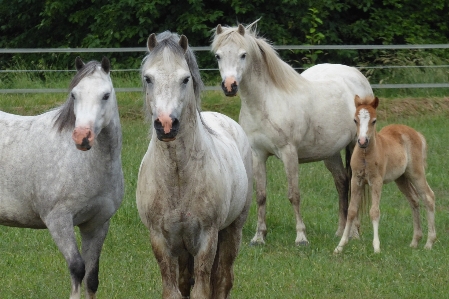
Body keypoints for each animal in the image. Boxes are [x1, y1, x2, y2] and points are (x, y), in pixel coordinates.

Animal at [135, 31, 254, 298]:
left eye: (185, 79)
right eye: (148, 78)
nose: (166, 125)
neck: (178, 176)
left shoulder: (206, 239)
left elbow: (203, 288)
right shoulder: (160, 240)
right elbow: (173, 290)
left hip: (232, 231)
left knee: (223, 279)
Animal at [212, 20, 372, 246]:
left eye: (243, 55)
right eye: (218, 56)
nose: (229, 86)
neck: (266, 102)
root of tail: (358, 77)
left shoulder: (289, 153)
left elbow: (294, 194)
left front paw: (301, 237)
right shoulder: (257, 154)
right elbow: (261, 195)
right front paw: (259, 237)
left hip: (356, 144)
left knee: (355, 183)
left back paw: (354, 233)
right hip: (330, 152)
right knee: (341, 182)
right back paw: (341, 231)